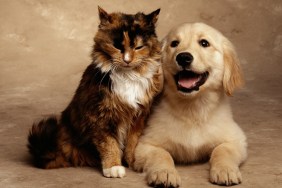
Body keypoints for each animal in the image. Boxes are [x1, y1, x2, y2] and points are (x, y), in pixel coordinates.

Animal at [27, 7, 163, 178]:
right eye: (117, 46)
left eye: (138, 47)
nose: (127, 60)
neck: (128, 77)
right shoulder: (99, 116)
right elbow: (109, 144)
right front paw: (113, 167)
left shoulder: (139, 116)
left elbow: (132, 142)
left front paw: (133, 162)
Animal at [134, 22, 247, 187]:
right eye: (174, 43)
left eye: (204, 43)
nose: (183, 57)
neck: (193, 108)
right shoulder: (145, 145)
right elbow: (162, 154)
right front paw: (165, 172)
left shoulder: (236, 140)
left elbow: (222, 151)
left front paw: (225, 170)